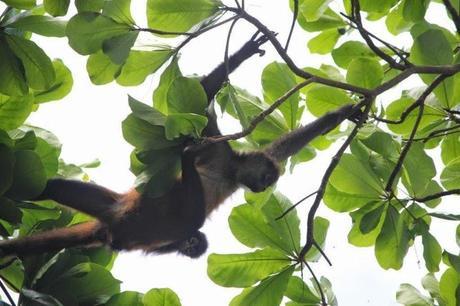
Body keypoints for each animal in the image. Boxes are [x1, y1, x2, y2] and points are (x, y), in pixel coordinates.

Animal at [0, 34, 360, 258]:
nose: (263, 188)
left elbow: (288, 144)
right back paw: (186, 167)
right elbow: (201, 94)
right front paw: (243, 52)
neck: (230, 171)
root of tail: (115, 225)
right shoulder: (216, 147)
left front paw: (343, 113)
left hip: (113, 209)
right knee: (192, 219)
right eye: (268, 179)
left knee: (49, 186)